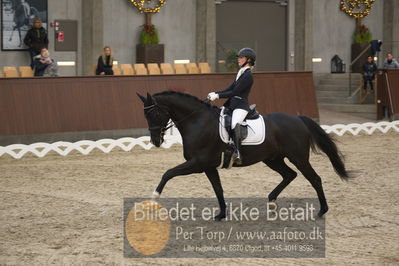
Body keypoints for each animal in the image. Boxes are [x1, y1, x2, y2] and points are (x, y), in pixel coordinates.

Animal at [138, 91, 354, 220]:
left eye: (153, 114)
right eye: (145, 115)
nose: (155, 141)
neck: (197, 121)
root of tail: (299, 119)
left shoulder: (198, 163)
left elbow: (168, 173)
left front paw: (153, 198)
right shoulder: (208, 166)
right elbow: (218, 189)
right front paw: (221, 214)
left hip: (298, 158)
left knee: (314, 179)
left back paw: (322, 210)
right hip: (272, 159)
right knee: (289, 175)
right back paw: (272, 201)